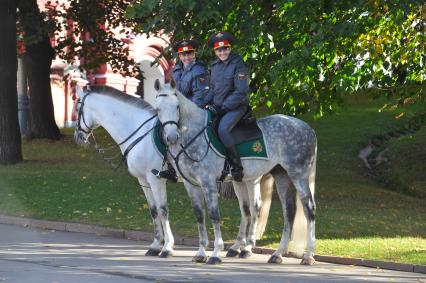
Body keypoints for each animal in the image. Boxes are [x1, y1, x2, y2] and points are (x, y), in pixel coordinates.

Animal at [73, 86, 175, 260]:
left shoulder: (156, 180)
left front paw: (167, 247)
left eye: (77, 108)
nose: (77, 137)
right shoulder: (144, 180)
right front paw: (156, 245)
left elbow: (162, 211)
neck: (140, 133)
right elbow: (154, 211)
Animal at [155, 80, 318, 266]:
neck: (194, 134)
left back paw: (308, 255)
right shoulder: (191, 184)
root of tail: (306, 127)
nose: (171, 137)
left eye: (177, 106)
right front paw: (201, 252)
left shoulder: (208, 182)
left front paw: (216, 253)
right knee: (288, 210)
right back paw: (277, 254)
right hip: (281, 174)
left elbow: (214, 215)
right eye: (158, 108)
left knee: (308, 208)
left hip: (298, 174)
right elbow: (199, 215)